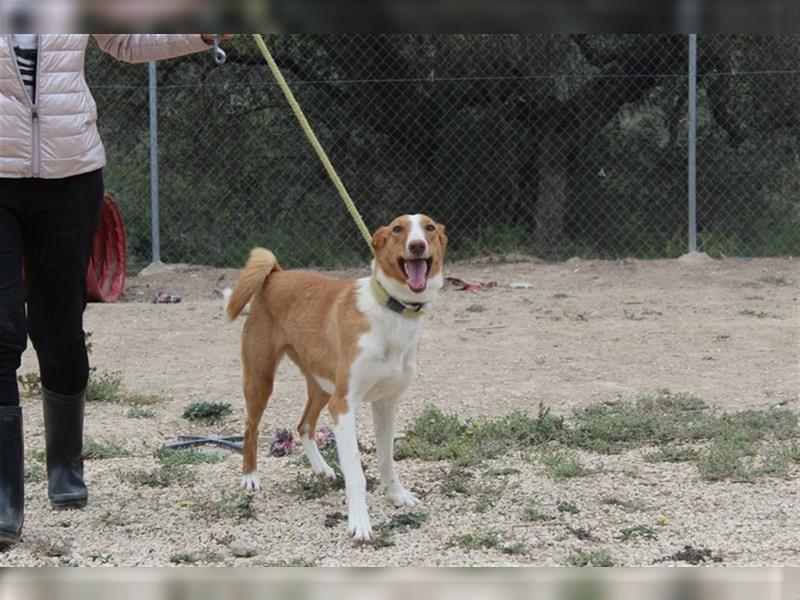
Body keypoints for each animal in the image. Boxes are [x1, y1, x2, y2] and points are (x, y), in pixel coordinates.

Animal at [228, 214, 446, 540]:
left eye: (429, 228)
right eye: (398, 229)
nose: (417, 245)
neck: (392, 312)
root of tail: (277, 274)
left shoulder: (386, 403)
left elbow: (387, 459)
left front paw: (396, 495)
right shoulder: (344, 405)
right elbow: (355, 472)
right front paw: (360, 523)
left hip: (322, 385)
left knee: (304, 425)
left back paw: (321, 468)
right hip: (261, 379)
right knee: (250, 429)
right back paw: (250, 477)